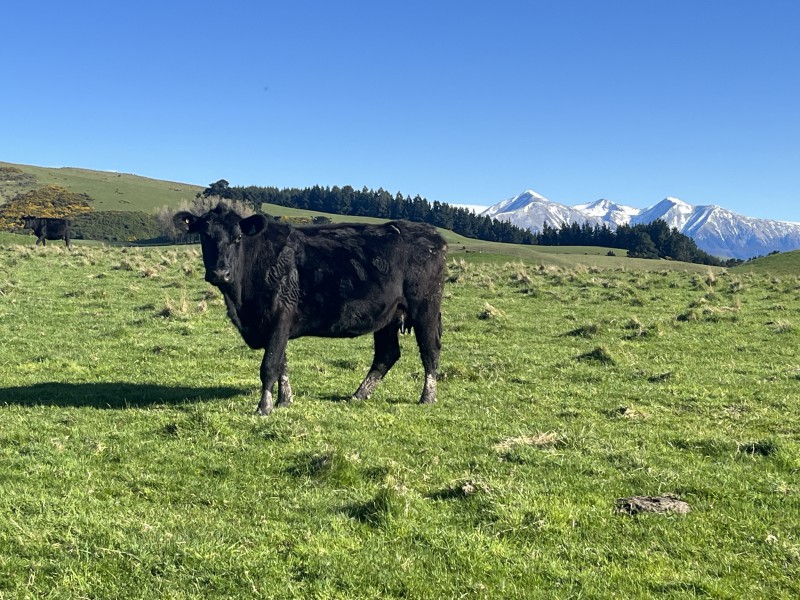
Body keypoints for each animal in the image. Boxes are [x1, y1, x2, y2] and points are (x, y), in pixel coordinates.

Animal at [174, 204, 446, 414]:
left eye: (238, 237)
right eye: (204, 235)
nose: (220, 272)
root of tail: (431, 234)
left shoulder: (280, 318)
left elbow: (269, 365)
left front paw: (264, 407)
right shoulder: (274, 325)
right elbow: (282, 364)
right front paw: (284, 401)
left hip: (425, 307)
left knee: (429, 349)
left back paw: (428, 397)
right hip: (387, 316)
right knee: (387, 354)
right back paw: (359, 394)